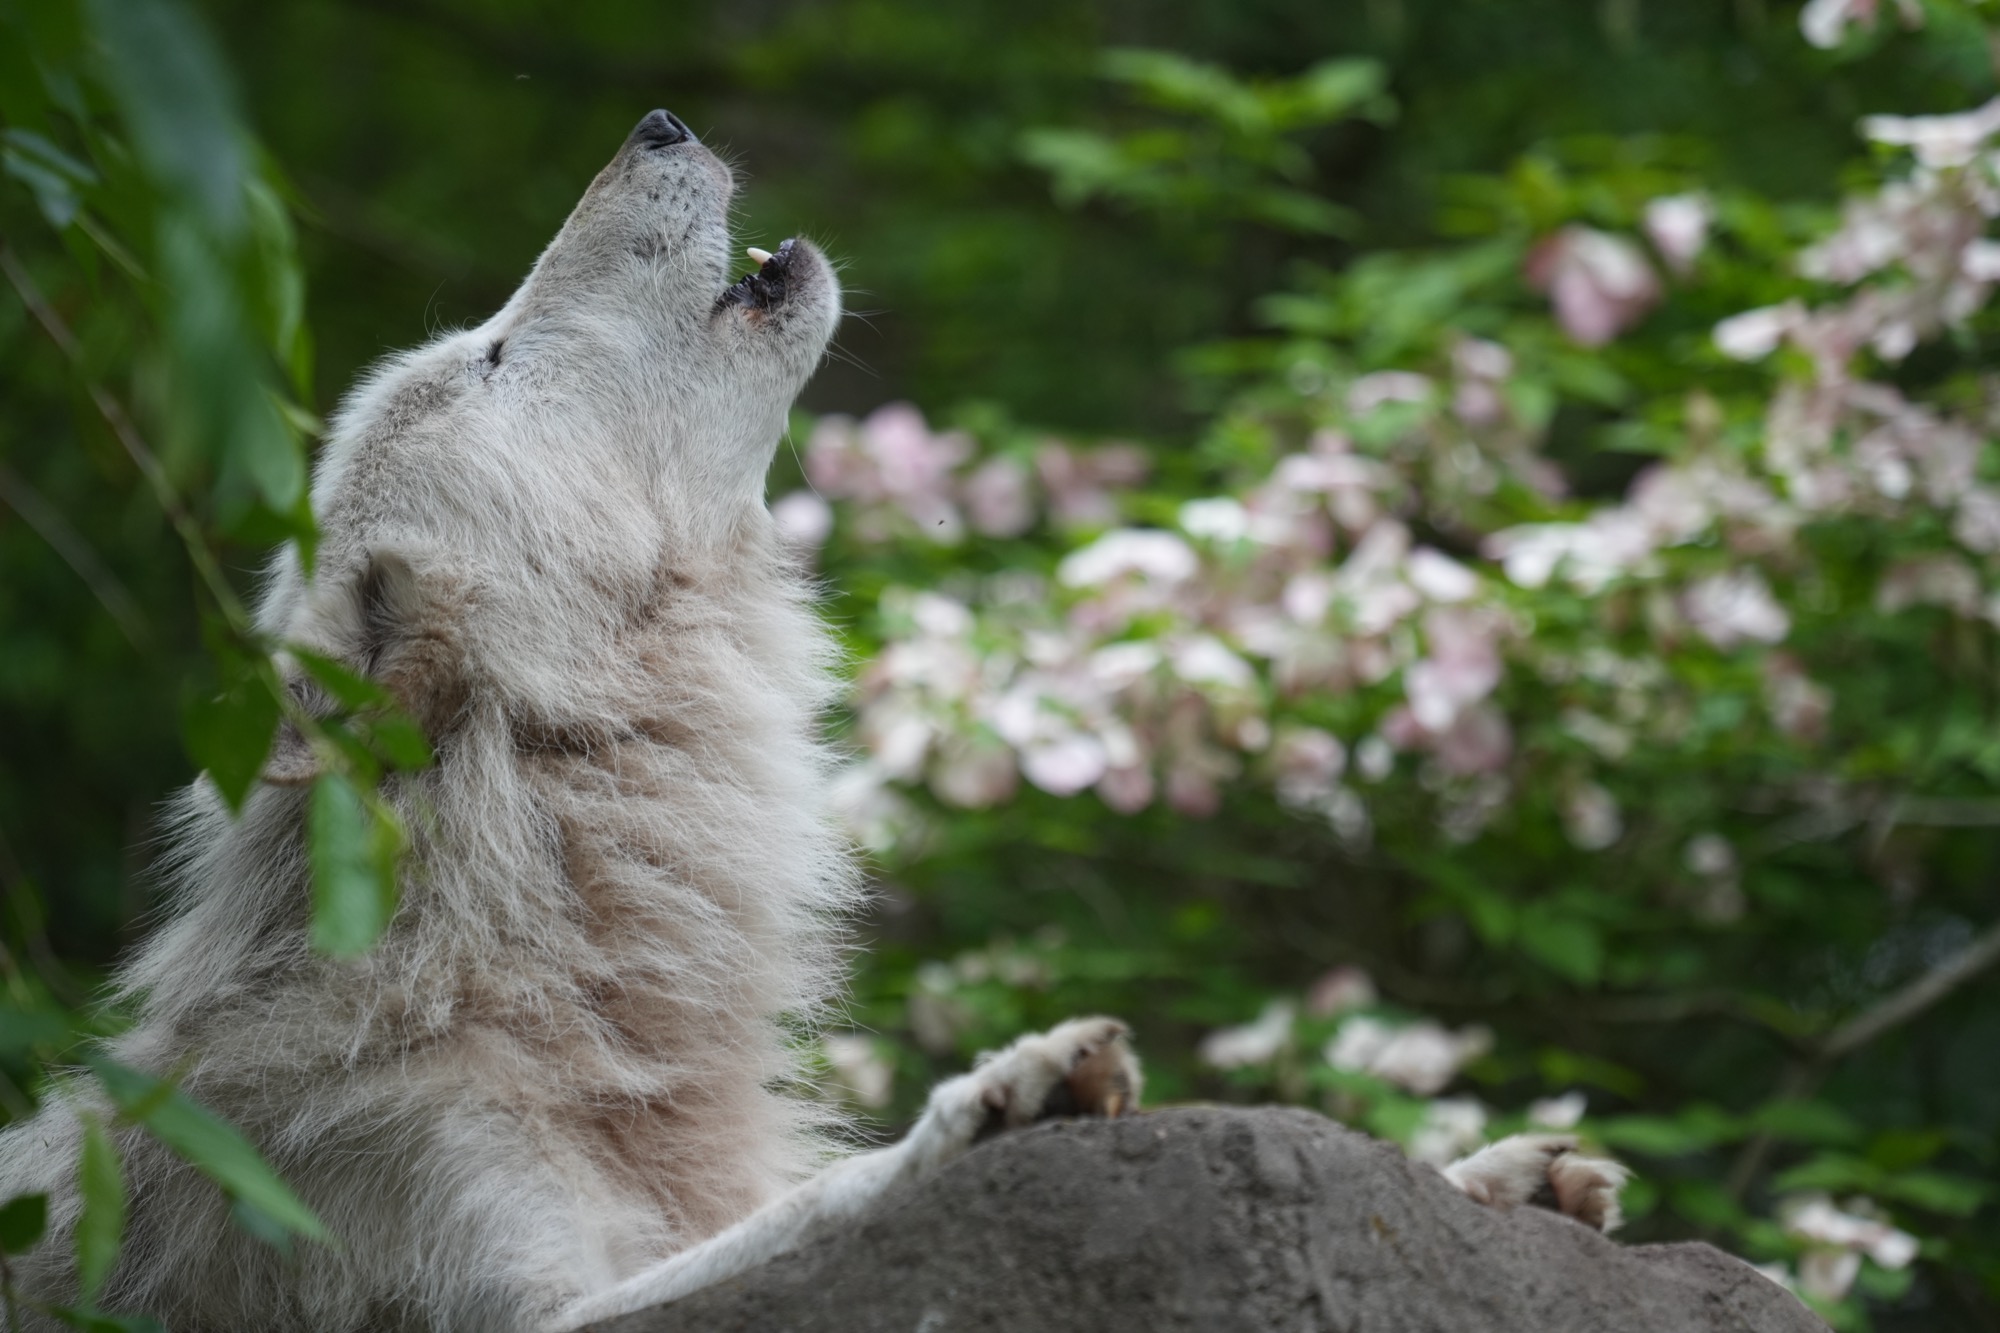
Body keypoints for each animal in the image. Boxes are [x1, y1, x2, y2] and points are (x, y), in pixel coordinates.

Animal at [0, 111, 1621, 1331]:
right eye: (492, 359)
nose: (658, 120)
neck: (527, 937)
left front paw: (1484, 1179)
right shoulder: (507, 1281)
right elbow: (808, 1219)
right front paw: (1007, 1102)